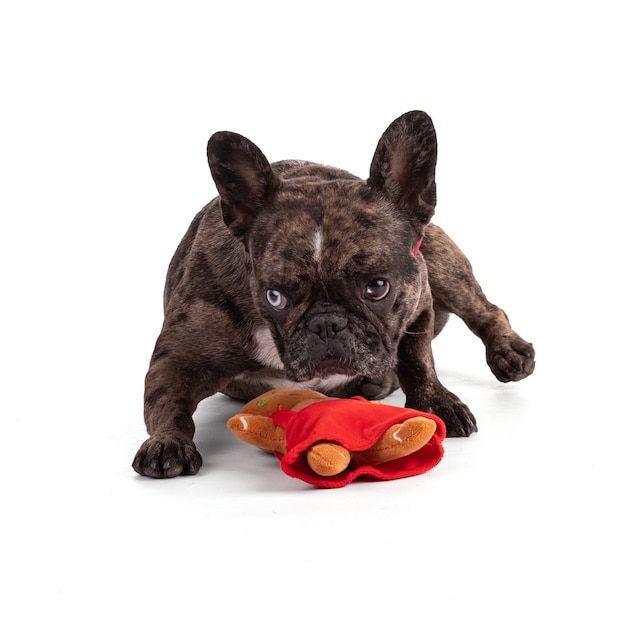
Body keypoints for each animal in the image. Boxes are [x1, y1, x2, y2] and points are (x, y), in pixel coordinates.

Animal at [132, 109, 532, 476]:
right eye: (274, 296)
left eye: (377, 287)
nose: (326, 324)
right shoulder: (179, 358)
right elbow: (166, 400)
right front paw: (167, 441)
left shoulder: (419, 305)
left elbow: (418, 360)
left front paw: (437, 403)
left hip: (439, 256)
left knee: (484, 310)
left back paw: (508, 352)